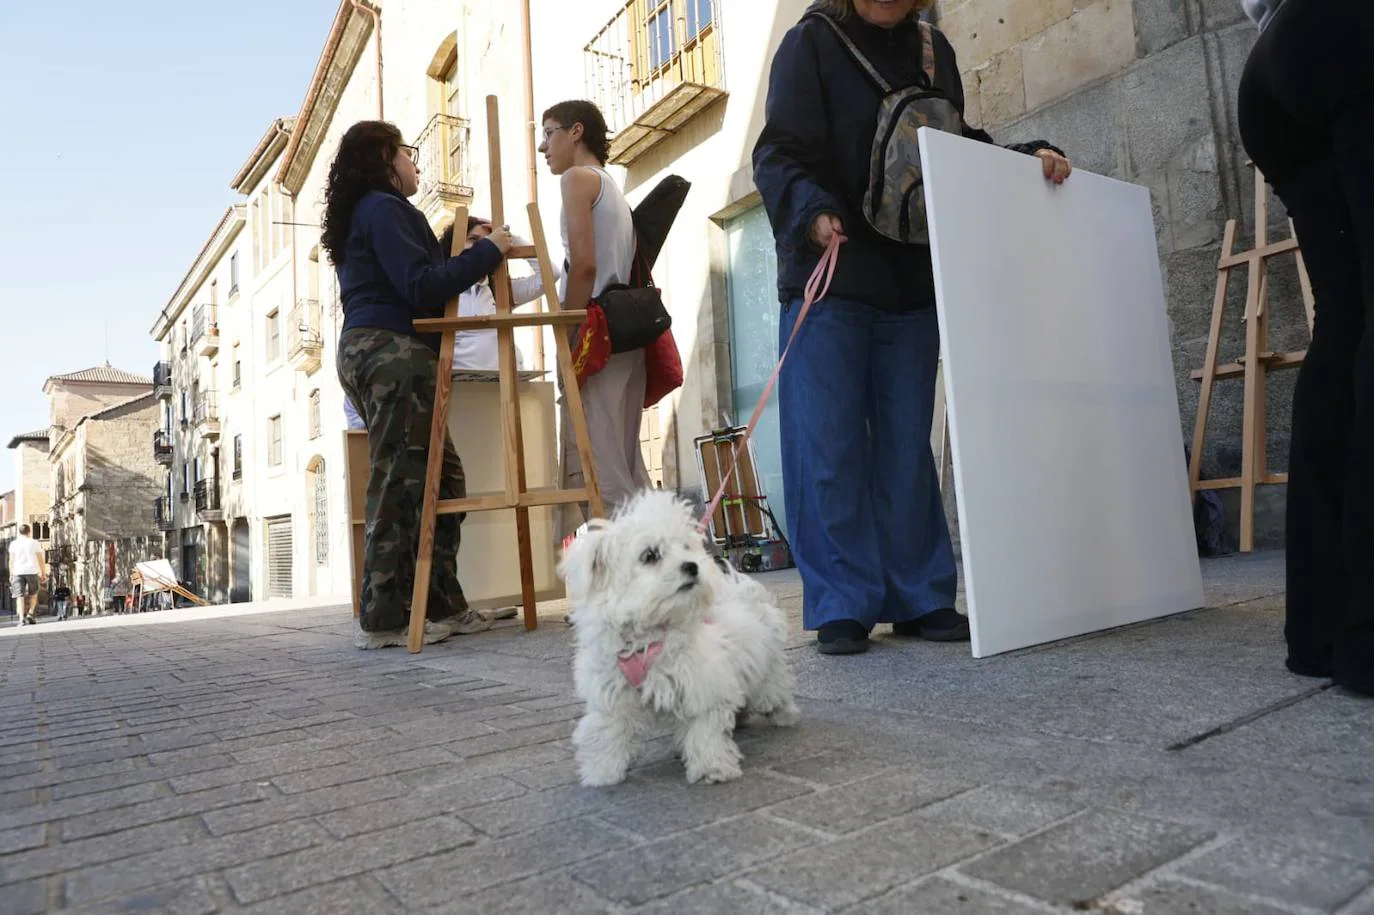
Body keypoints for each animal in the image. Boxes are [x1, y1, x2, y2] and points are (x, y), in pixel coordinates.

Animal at [555, 489, 802, 780]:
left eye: (685, 547)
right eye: (650, 555)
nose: (693, 566)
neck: (648, 631)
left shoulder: (701, 683)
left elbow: (704, 730)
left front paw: (712, 767)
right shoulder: (612, 690)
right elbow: (608, 730)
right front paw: (602, 771)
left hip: (766, 667)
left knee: (773, 690)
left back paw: (785, 715)